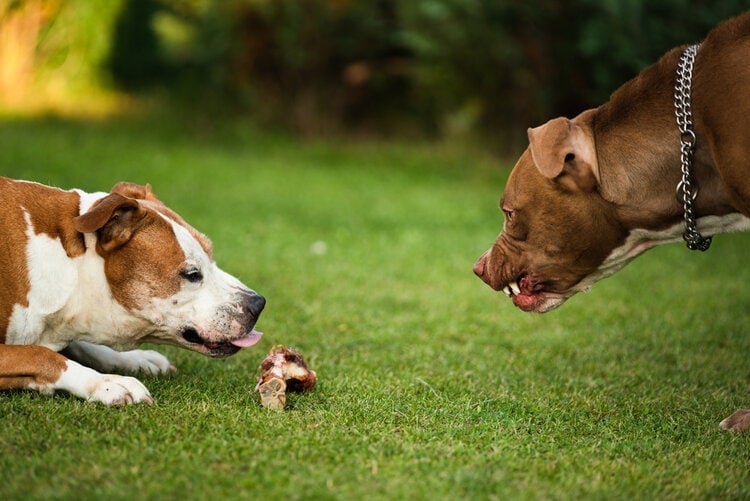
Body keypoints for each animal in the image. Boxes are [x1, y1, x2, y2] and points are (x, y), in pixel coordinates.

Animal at [0, 178, 266, 404]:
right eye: (192, 274)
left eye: (211, 255)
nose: (259, 303)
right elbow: (40, 354)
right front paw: (106, 382)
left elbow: (78, 345)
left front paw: (135, 358)